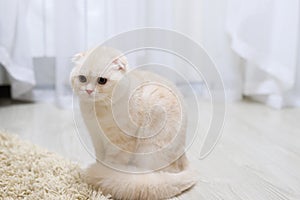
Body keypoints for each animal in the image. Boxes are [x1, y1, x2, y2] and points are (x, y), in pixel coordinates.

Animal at [70, 46, 197, 199]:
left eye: (102, 80)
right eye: (82, 79)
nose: (88, 90)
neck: (98, 110)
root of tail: (183, 154)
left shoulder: (120, 143)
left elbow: (111, 163)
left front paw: (104, 176)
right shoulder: (97, 139)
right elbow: (99, 158)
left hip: (149, 151)